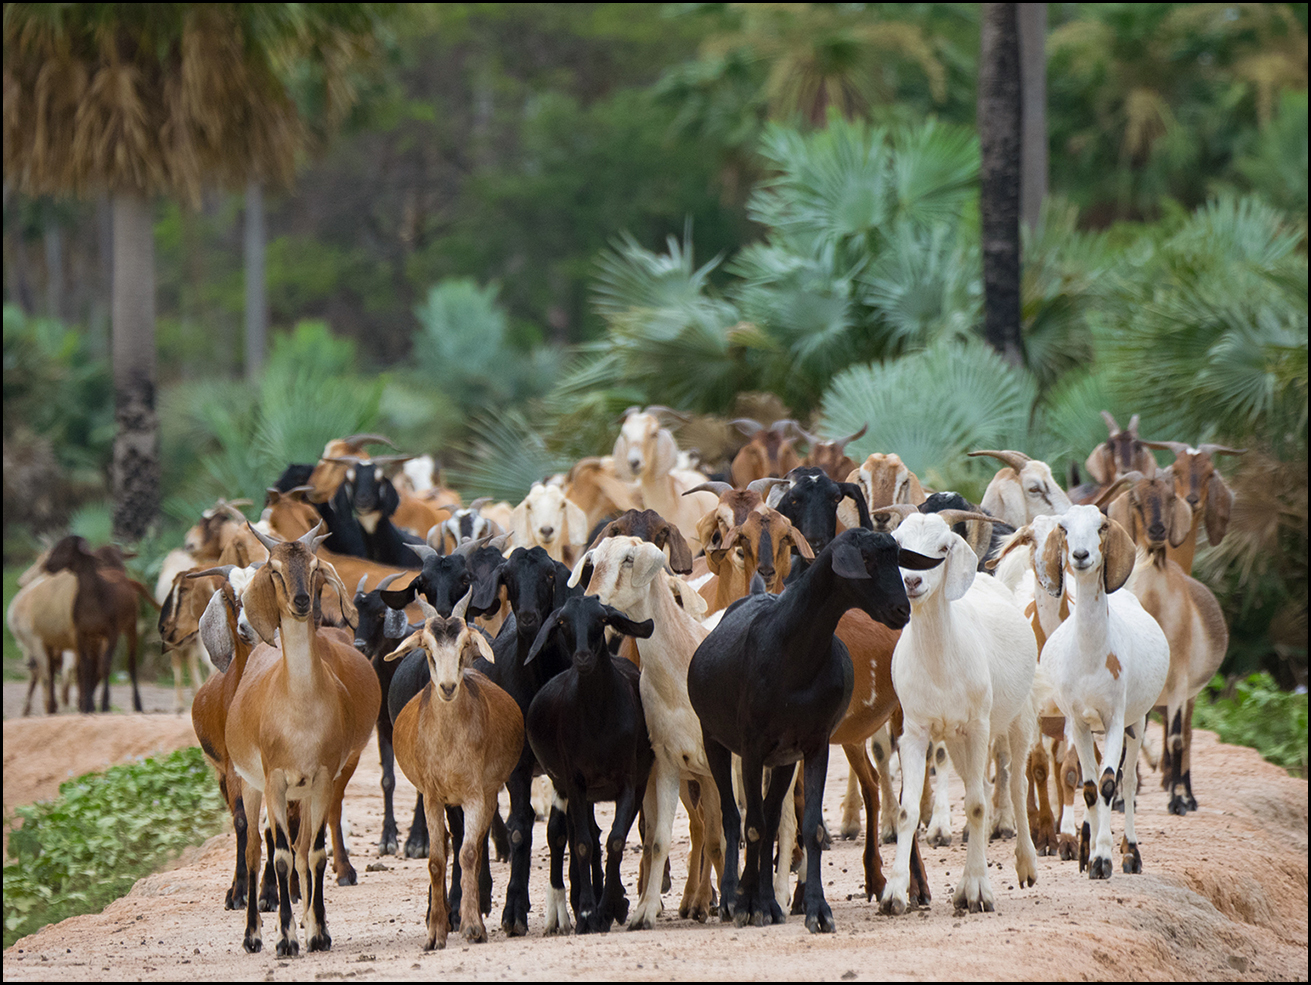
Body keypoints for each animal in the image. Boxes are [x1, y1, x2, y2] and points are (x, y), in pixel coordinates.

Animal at [686, 527, 943, 933]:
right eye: (866, 560)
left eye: (897, 559)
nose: (901, 610)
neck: (791, 655)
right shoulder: (752, 746)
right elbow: (753, 825)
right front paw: (747, 904)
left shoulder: (813, 744)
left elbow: (809, 827)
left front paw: (814, 909)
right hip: (715, 740)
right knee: (732, 816)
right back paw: (732, 898)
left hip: (785, 757)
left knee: (773, 815)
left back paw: (766, 900)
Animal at [880, 516, 1033, 918]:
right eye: (899, 546)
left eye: (943, 548)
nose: (911, 582)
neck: (940, 663)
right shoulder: (915, 730)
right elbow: (907, 811)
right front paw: (894, 893)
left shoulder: (978, 726)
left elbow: (978, 805)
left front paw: (979, 890)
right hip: (954, 738)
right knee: (972, 780)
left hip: (1018, 716)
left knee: (1017, 782)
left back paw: (1027, 864)